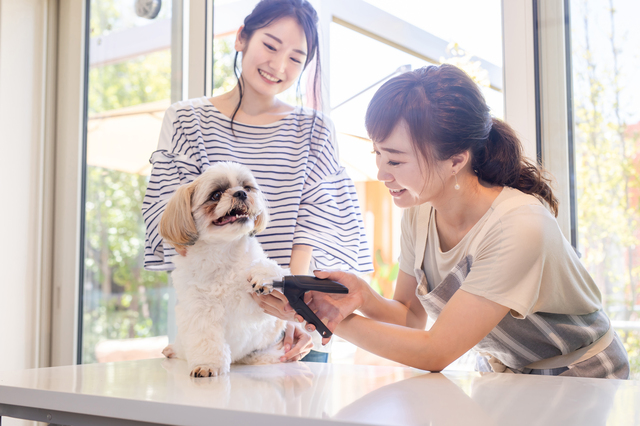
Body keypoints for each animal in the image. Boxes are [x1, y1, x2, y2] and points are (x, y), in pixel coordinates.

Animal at [159, 161, 288, 378]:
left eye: (247, 187)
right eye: (216, 195)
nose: (241, 194)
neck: (224, 252)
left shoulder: (262, 312)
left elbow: (270, 267)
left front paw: (264, 276)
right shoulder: (200, 310)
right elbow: (206, 340)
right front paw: (206, 365)